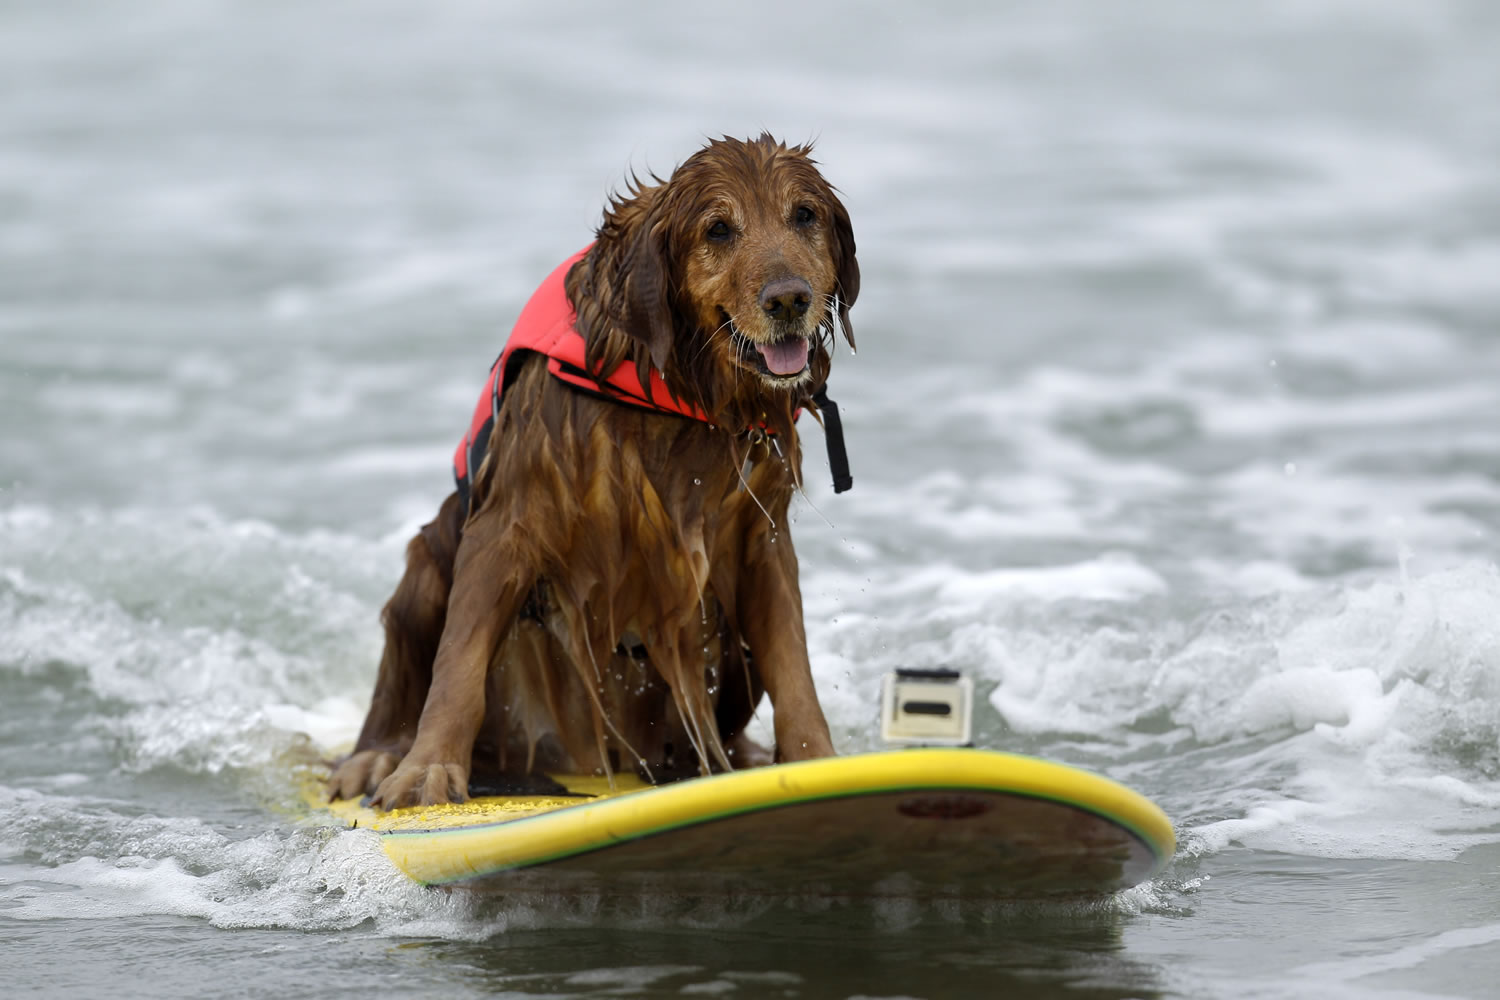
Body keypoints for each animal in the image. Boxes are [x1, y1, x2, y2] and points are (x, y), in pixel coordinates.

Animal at [333, 132, 864, 809]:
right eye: (717, 229)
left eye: (805, 216)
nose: (790, 299)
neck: (681, 393)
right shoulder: (508, 521)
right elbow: (460, 659)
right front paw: (427, 769)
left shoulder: (760, 543)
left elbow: (793, 664)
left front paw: (817, 762)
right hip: (426, 568)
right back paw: (374, 757)